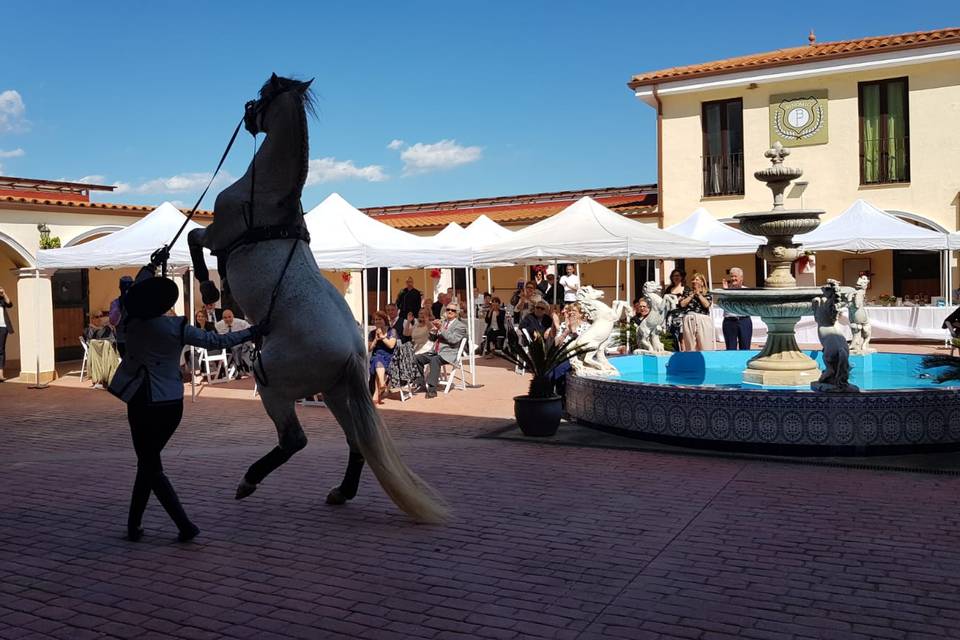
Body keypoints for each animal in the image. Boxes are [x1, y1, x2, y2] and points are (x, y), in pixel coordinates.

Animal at [188, 76, 450, 524]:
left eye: (261, 94)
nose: (248, 119)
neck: (267, 195)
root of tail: (352, 354)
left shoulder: (216, 235)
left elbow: (191, 238)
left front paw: (206, 288)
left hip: (275, 386)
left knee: (295, 440)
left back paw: (249, 481)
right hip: (335, 393)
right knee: (356, 441)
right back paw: (341, 492)